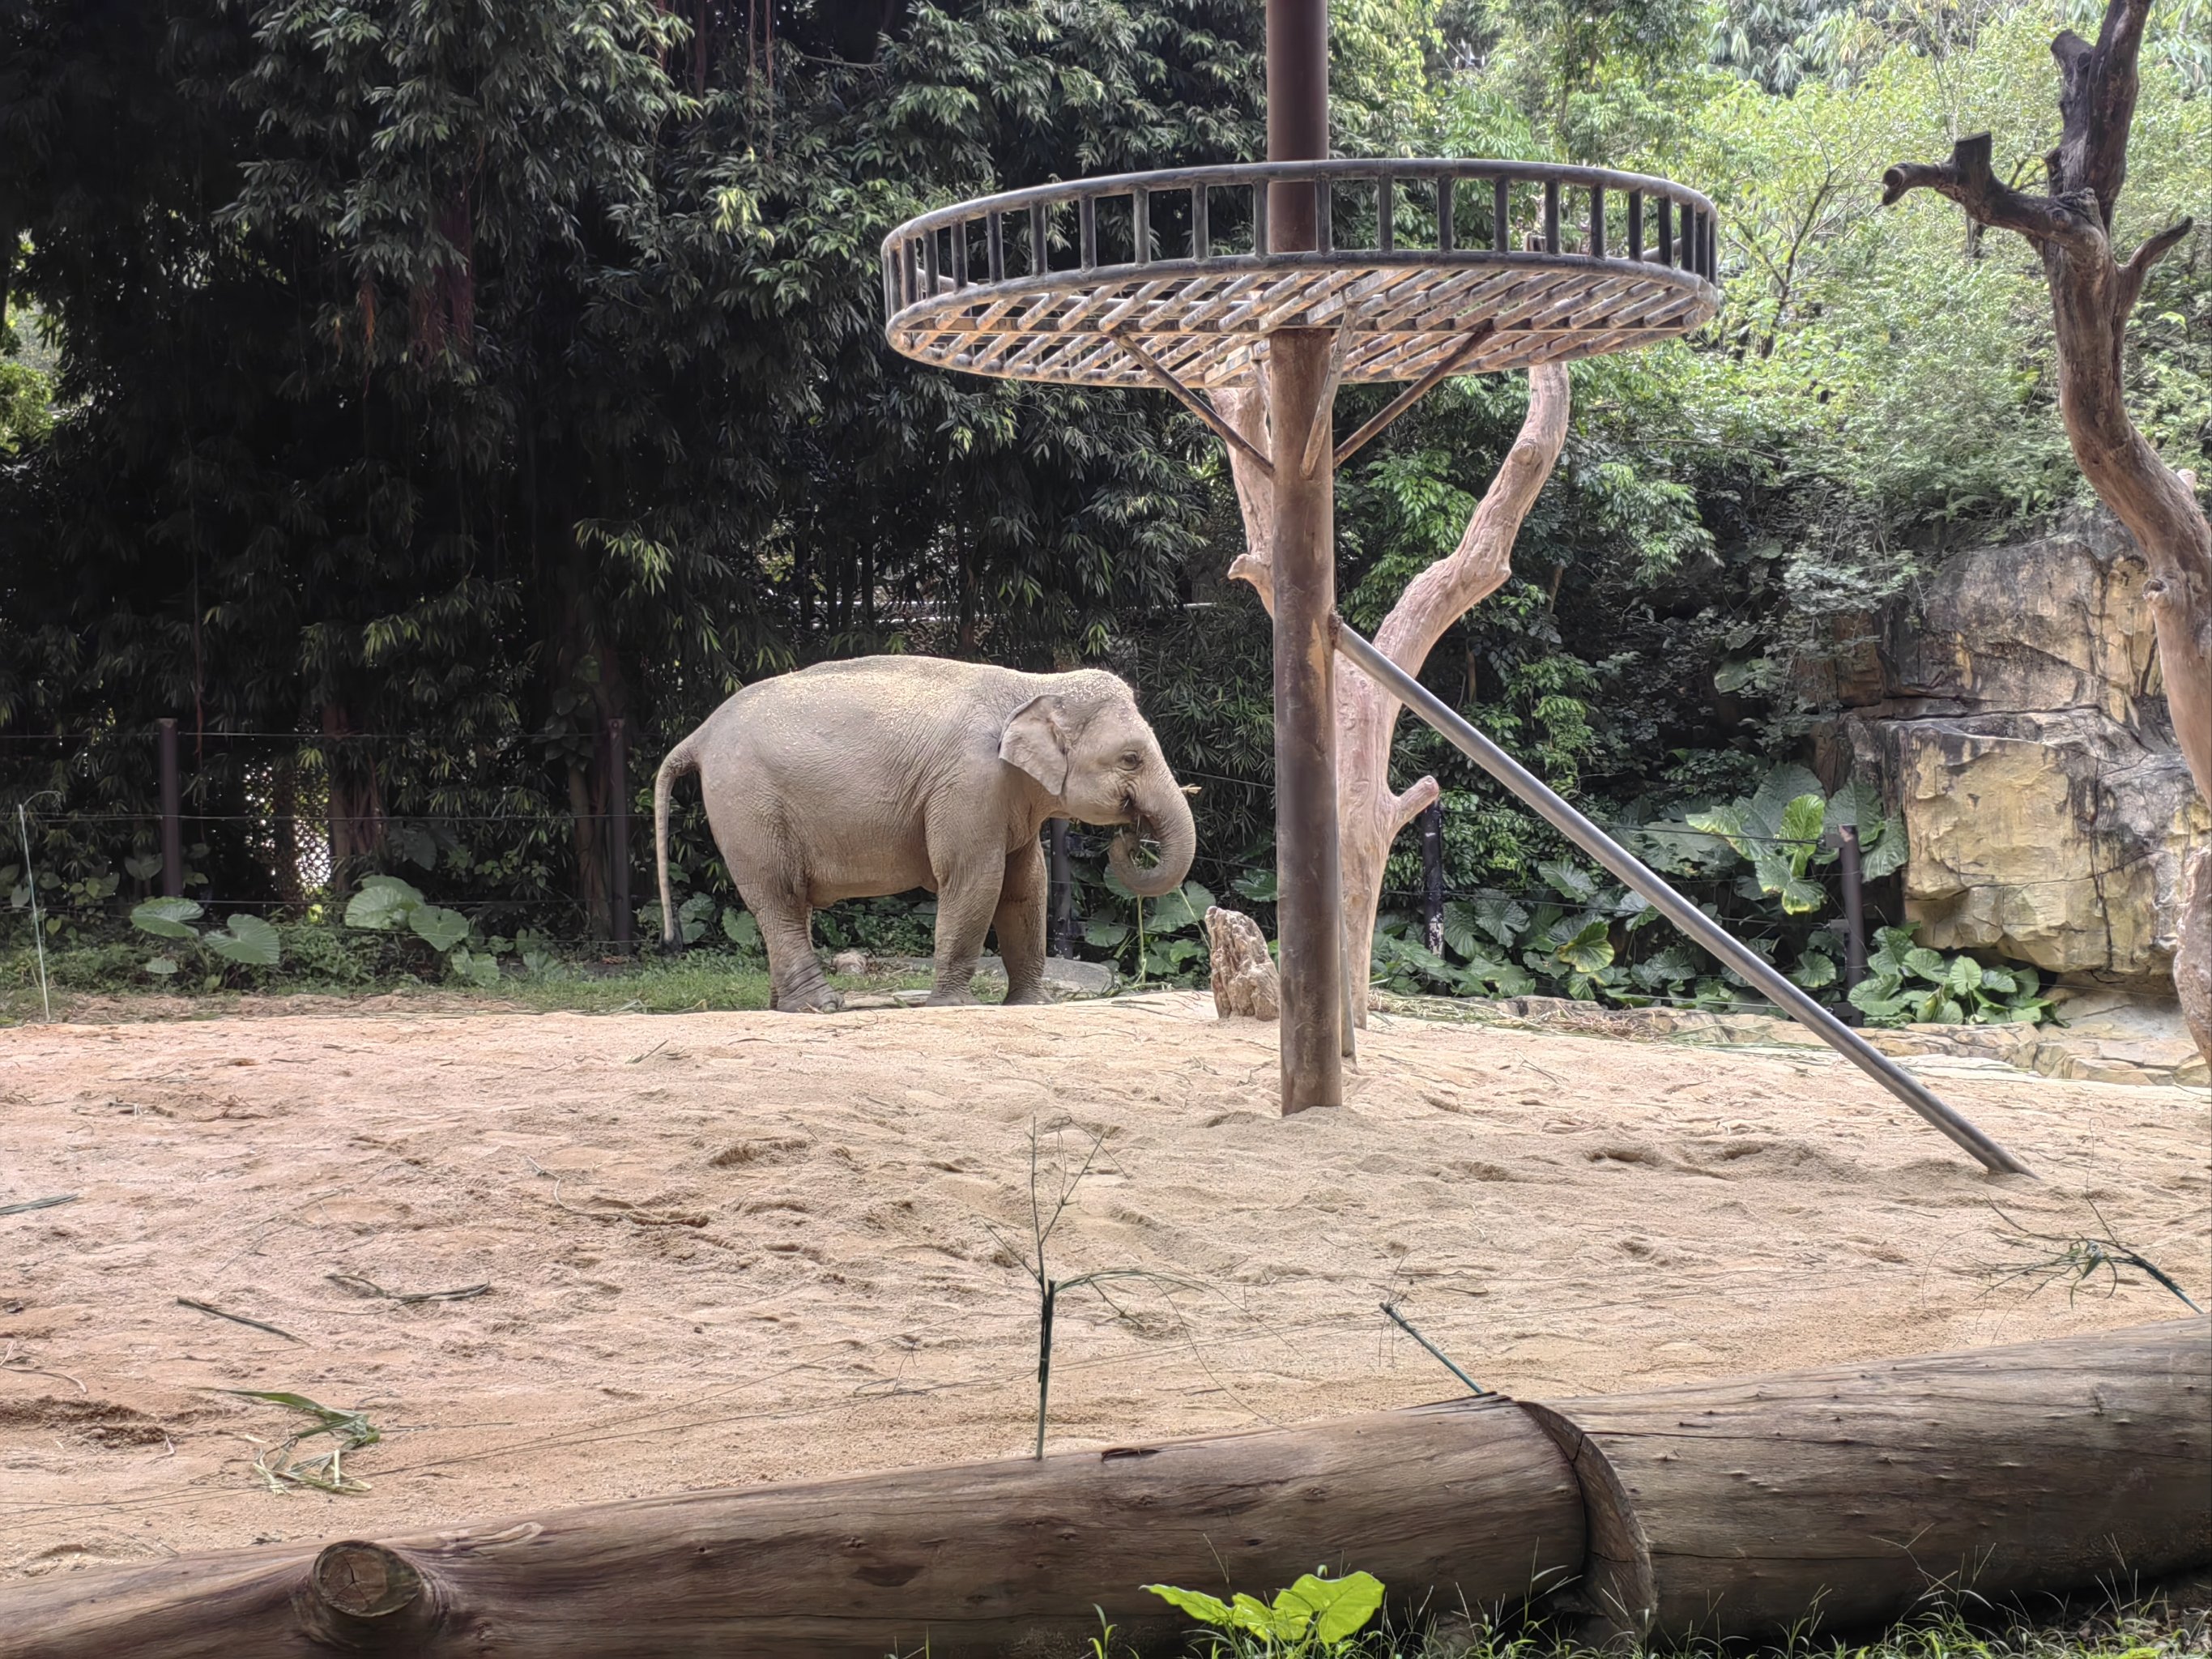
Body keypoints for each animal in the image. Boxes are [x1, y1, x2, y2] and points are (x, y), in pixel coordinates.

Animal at [650, 655, 1194, 1009]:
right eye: (1131, 759)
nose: (1131, 837)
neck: (1034, 684)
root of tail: (700, 735)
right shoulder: (969, 783)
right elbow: (975, 878)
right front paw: (954, 1007)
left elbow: (1027, 885)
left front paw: (1030, 1006)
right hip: (748, 805)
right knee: (777, 896)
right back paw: (822, 1006)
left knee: (789, 903)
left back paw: (784, 1008)